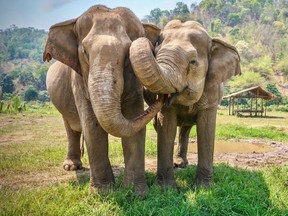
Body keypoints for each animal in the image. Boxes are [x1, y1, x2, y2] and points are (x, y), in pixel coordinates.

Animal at [43, 5, 163, 195]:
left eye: (128, 53)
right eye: (85, 52)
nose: (163, 97)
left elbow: (133, 118)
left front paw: (136, 193)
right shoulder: (79, 79)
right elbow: (92, 126)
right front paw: (103, 193)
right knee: (70, 127)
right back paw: (71, 167)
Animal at [130, 19, 241, 186]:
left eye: (193, 62)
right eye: (155, 53)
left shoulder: (212, 93)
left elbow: (206, 130)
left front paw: (205, 186)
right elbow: (166, 128)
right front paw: (166, 188)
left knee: (186, 128)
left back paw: (182, 164)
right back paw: (177, 164)